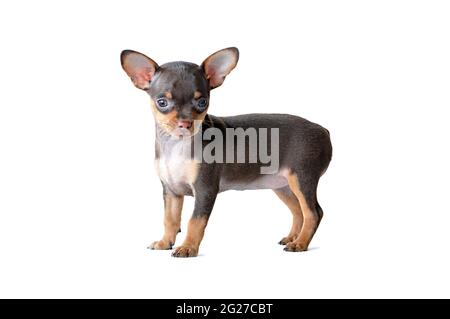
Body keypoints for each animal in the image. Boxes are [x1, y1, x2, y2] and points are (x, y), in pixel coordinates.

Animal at [121, 47, 332, 258]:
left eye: (202, 102)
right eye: (162, 102)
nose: (185, 123)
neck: (176, 145)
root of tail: (323, 130)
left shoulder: (205, 189)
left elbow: (195, 221)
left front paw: (188, 247)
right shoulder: (171, 191)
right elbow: (170, 219)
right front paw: (165, 242)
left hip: (302, 178)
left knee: (313, 212)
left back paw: (300, 243)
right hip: (283, 185)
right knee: (298, 211)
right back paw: (293, 238)